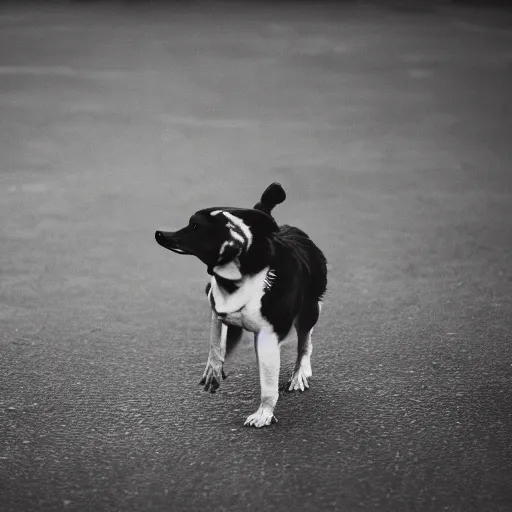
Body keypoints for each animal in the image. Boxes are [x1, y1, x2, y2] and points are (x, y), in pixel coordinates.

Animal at [154, 184, 326, 428]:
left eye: (195, 226)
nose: (159, 233)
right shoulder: (218, 311)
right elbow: (216, 344)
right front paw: (214, 370)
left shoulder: (268, 336)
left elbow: (269, 383)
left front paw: (264, 413)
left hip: (309, 310)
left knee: (304, 341)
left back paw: (299, 374)